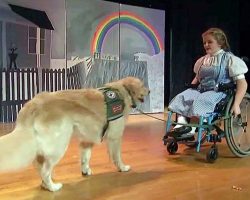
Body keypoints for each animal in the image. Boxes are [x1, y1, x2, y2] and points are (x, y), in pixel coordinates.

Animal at [0, 76, 148, 191]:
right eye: (143, 85)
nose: (150, 90)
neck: (123, 91)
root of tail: (34, 103)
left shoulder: (87, 140)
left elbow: (85, 158)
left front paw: (85, 171)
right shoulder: (115, 137)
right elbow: (117, 156)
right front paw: (122, 168)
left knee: (39, 165)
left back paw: (45, 184)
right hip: (59, 144)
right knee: (44, 170)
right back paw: (52, 187)